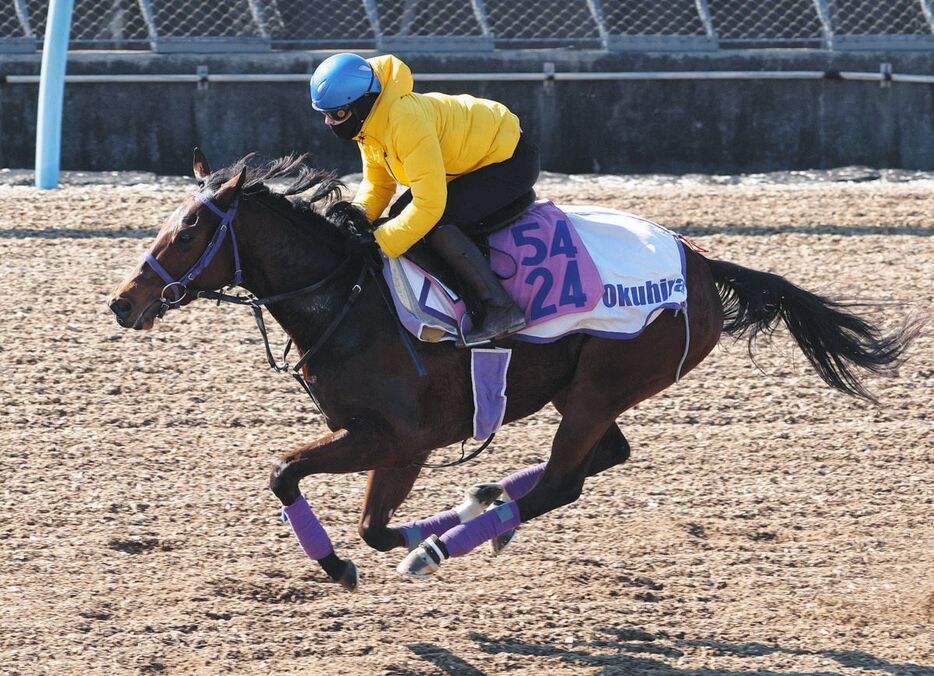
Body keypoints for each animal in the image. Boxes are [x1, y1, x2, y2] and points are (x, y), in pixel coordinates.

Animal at [108, 152, 916, 592]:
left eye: (189, 231)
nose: (123, 303)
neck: (345, 297)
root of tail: (699, 260)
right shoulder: (381, 441)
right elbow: (353, 512)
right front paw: (438, 523)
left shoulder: (398, 441)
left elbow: (325, 499)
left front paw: (360, 561)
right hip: (585, 390)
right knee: (600, 459)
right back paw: (484, 503)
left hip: (601, 384)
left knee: (564, 481)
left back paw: (451, 538)